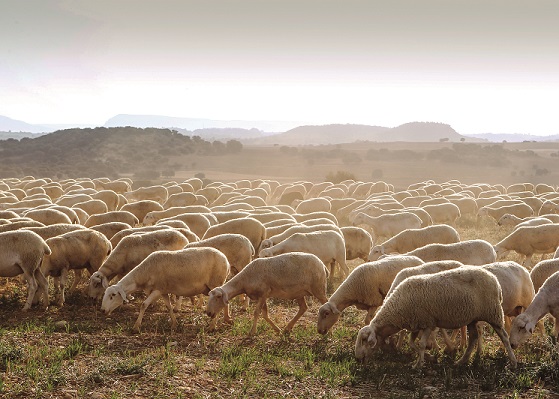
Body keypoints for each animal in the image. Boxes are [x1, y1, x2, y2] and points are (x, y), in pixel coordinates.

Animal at [102, 247, 230, 332]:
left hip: (215, 283)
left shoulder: (158, 289)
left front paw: (136, 326)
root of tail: (227, 261)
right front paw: (174, 324)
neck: (144, 273)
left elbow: (143, 305)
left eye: (112, 295)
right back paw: (226, 319)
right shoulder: (163, 291)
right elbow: (169, 307)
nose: (103, 310)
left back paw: (212, 326)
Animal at [356, 268, 520, 370]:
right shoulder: (417, 323)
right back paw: (461, 362)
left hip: (493, 313)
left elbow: (421, 344)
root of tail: (495, 281)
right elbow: (412, 343)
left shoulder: (428, 322)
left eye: (364, 340)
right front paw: (428, 358)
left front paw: (419, 364)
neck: (397, 310)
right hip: (473, 318)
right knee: (473, 337)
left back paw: (513, 362)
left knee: (504, 337)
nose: (357, 359)